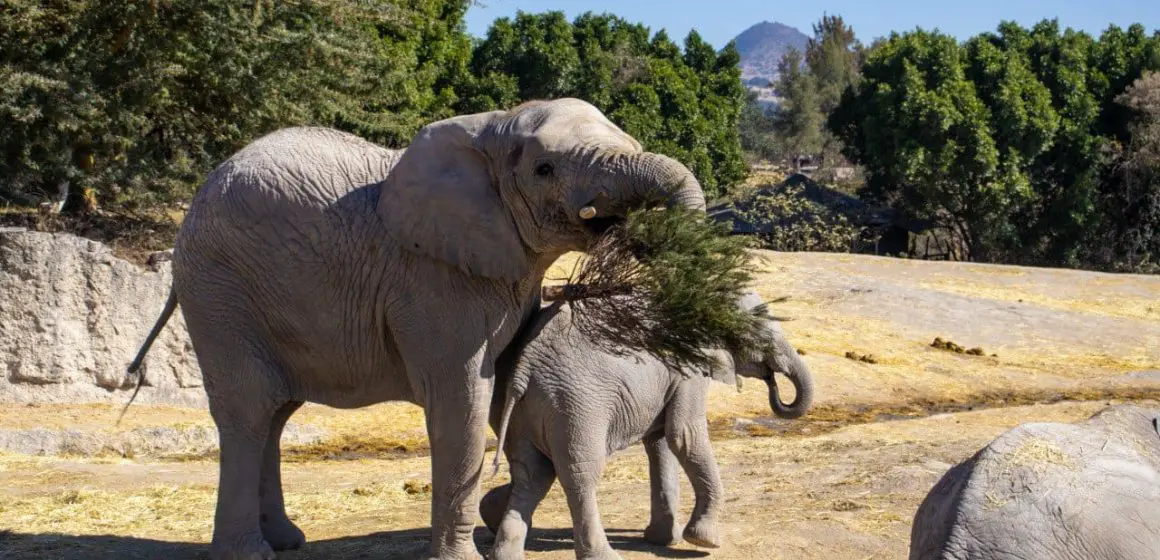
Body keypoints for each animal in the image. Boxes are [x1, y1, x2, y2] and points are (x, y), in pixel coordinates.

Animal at [127, 99, 705, 560]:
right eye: (544, 169)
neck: (490, 128)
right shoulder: (433, 279)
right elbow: (463, 400)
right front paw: (464, 556)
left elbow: (505, 385)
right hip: (220, 291)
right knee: (248, 409)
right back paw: (250, 554)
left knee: (276, 411)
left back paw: (289, 541)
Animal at [475, 293, 812, 560]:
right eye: (763, 329)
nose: (773, 382)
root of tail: (525, 365)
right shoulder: (688, 367)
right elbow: (684, 435)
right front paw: (705, 541)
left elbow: (661, 442)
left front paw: (663, 539)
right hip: (576, 403)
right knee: (580, 474)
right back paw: (605, 556)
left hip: (516, 406)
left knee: (532, 474)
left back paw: (503, 548)